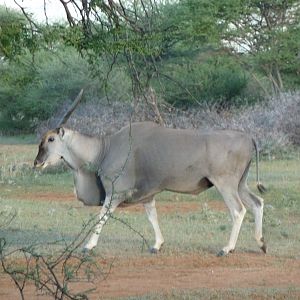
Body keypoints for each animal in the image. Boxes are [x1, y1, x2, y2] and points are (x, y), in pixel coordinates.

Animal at [33, 121, 268, 255]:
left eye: (51, 139)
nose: (37, 162)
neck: (105, 148)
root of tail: (248, 138)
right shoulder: (147, 196)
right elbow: (152, 217)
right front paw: (157, 245)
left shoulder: (115, 194)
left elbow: (102, 216)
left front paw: (89, 246)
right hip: (240, 184)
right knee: (257, 203)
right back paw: (261, 243)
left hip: (225, 184)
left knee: (238, 210)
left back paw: (227, 248)